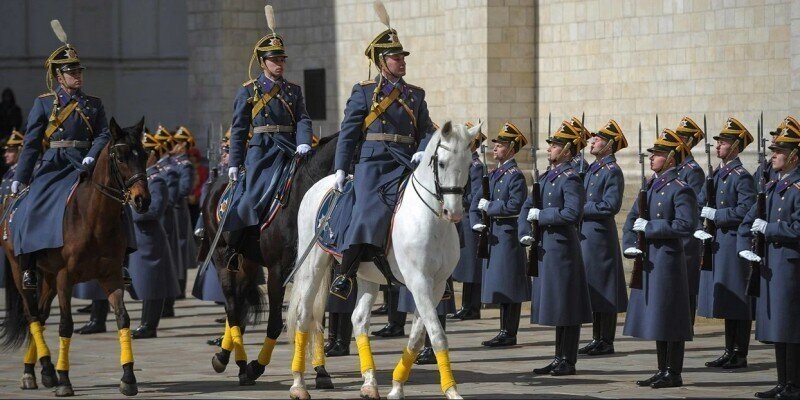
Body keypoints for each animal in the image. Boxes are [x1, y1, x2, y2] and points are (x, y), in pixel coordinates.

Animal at [0, 118, 150, 396]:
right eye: (121, 157)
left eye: (145, 155)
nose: (142, 200)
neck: (95, 219)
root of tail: (11, 202)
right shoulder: (65, 278)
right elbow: (65, 325)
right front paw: (65, 380)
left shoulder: (111, 276)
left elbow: (122, 319)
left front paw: (128, 376)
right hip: (19, 271)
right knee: (32, 315)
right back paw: (40, 371)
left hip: (47, 277)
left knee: (41, 315)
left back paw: (38, 370)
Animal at [200, 131, 340, 388]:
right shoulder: (278, 272)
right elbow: (275, 323)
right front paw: (256, 367)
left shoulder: (318, 269)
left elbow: (315, 318)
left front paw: (321, 372)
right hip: (222, 258)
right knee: (232, 305)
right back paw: (238, 364)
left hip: (248, 262)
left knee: (239, 303)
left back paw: (228, 356)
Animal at [284, 120, 478, 398]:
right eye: (441, 163)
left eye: (469, 163)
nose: (454, 212)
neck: (430, 219)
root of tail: (321, 185)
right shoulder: (418, 281)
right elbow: (437, 334)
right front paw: (451, 390)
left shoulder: (437, 285)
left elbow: (418, 337)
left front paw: (397, 386)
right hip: (314, 263)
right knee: (303, 314)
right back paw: (299, 384)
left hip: (367, 273)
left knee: (359, 319)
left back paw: (369, 382)